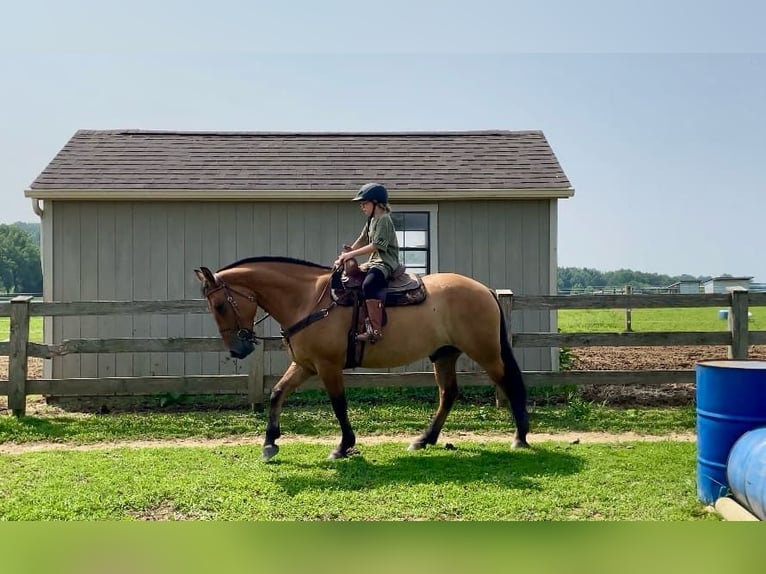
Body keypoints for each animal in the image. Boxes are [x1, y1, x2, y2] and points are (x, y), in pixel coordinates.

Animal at [195, 258, 532, 464]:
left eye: (220, 305)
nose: (237, 350)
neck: (309, 300)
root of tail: (484, 290)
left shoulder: (327, 366)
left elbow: (339, 405)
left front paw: (343, 446)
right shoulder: (305, 365)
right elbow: (277, 393)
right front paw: (269, 443)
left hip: (486, 352)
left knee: (509, 384)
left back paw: (520, 438)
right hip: (445, 354)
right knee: (448, 394)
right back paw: (424, 439)